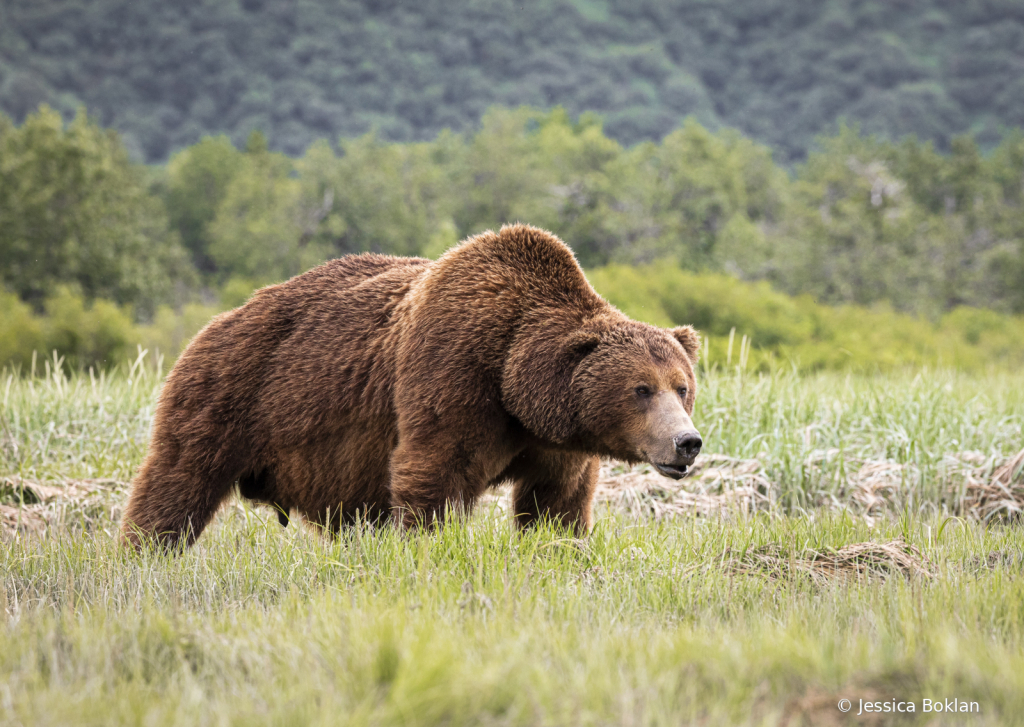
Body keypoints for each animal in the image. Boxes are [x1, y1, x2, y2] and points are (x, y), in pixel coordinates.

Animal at [117, 225, 696, 548]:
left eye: (682, 387)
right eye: (641, 389)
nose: (687, 442)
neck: (516, 386)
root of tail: (215, 323)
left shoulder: (558, 443)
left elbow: (557, 503)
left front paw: (559, 546)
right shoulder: (454, 371)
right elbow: (433, 473)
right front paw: (430, 548)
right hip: (229, 395)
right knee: (177, 482)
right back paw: (144, 552)